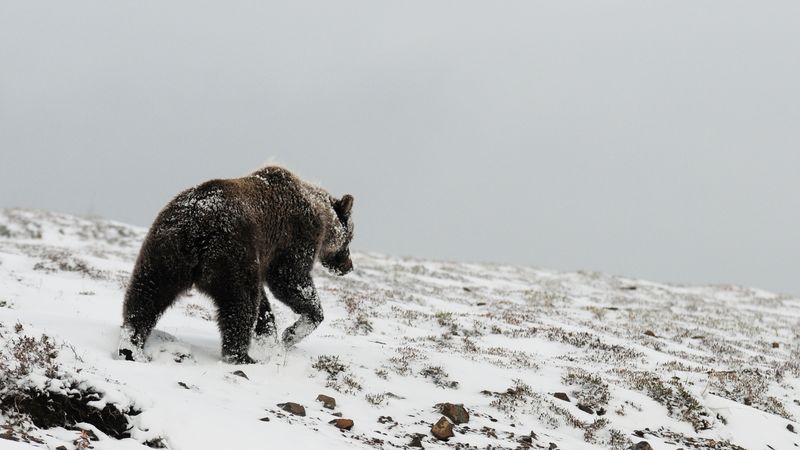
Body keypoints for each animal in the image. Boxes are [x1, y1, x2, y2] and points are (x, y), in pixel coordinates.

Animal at [118, 165, 354, 364]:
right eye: (350, 238)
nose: (348, 266)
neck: (322, 215)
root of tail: (197, 225)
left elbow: (265, 304)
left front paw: (270, 339)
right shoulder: (294, 237)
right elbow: (290, 280)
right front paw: (292, 333)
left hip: (165, 250)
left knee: (146, 294)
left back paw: (131, 346)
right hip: (232, 253)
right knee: (240, 303)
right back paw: (241, 356)